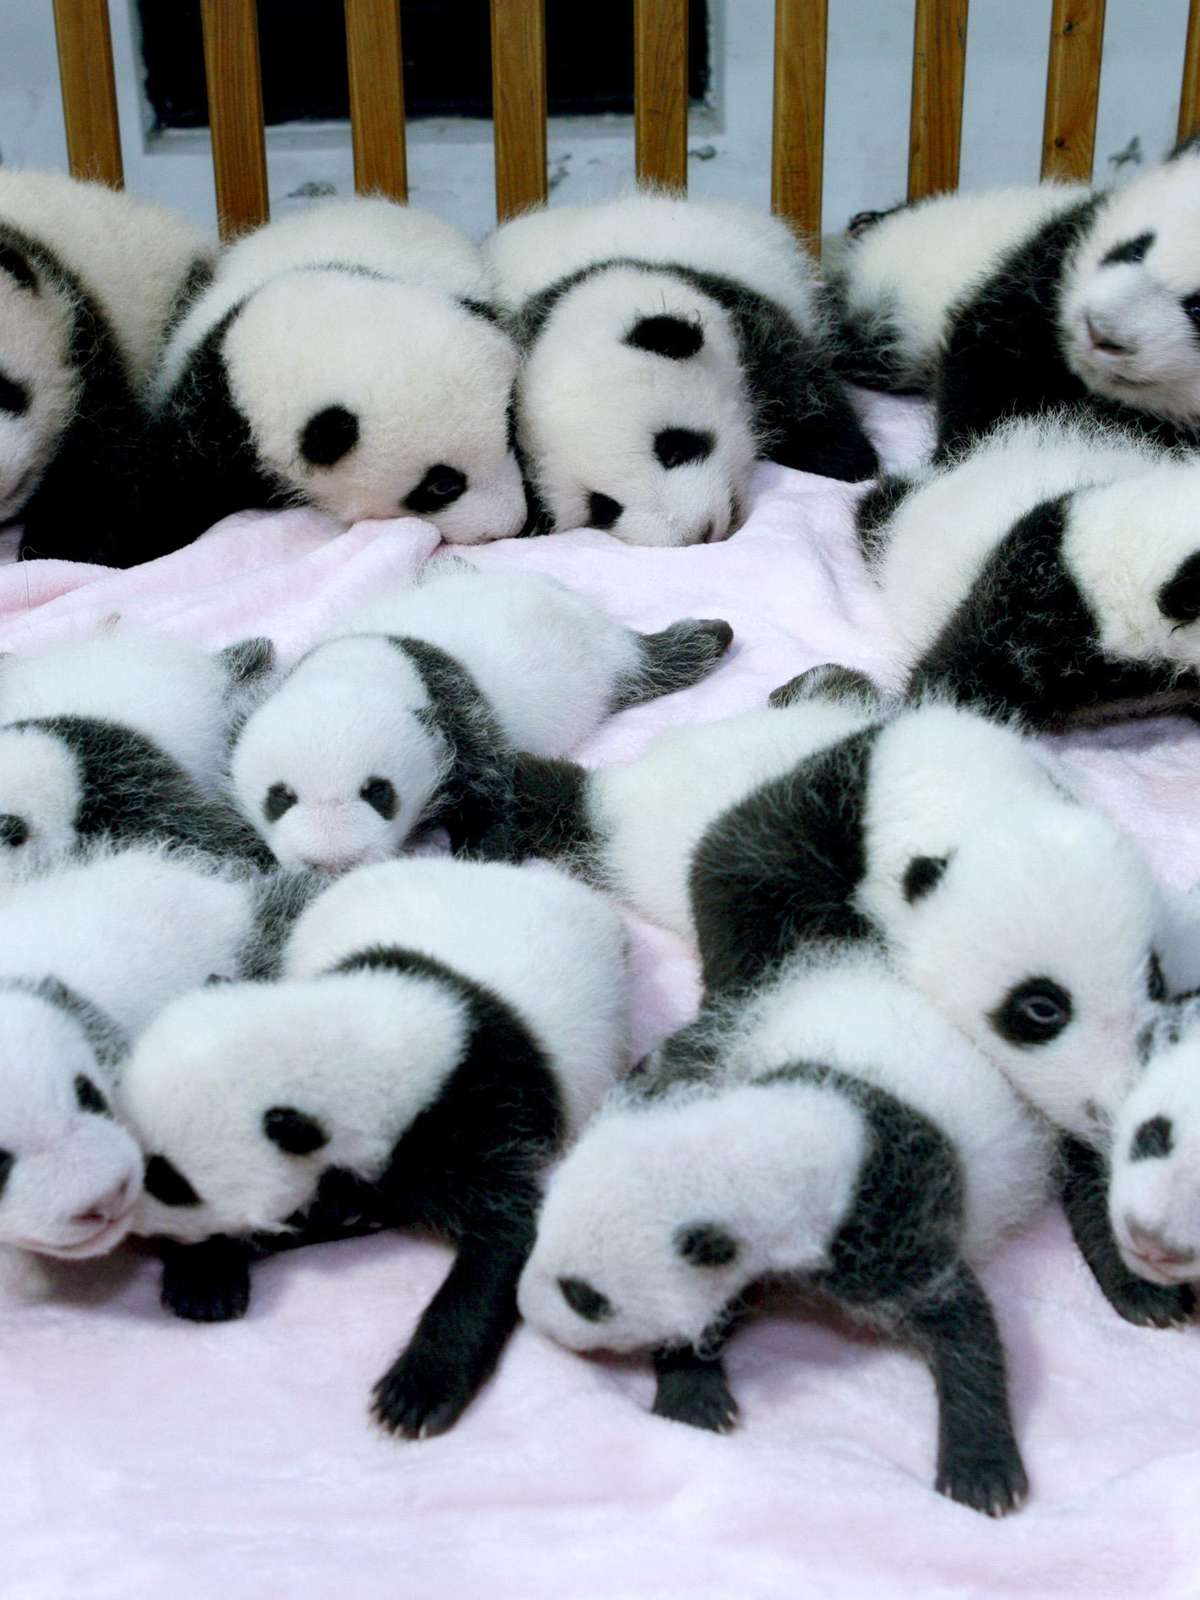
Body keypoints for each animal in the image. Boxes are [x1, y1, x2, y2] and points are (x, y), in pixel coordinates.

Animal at [118, 856, 630, 1440]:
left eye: (168, 1179)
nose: (117, 1226)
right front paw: (205, 1275)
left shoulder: (483, 1116)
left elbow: (508, 1238)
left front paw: (419, 1389)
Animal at [230, 565, 733, 872]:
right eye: (280, 798)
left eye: (379, 793)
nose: (332, 861)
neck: (361, 667)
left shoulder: (460, 717)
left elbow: (493, 793)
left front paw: (480, 861)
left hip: (603, 659)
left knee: (655, 662)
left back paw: (709, 638)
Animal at [483, 190, 879, 547]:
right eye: (603, 507)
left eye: (673, 447)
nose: (696, 533)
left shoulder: (743, 318)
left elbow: (802, 388)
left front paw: (852, 463)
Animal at [519, 941, 1053, 1517]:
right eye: (537, 1237)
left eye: (584, 1297)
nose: (528, 1313)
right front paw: (695, 1395)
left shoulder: (895, 1225)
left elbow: (965, 1324)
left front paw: (982, 1474)